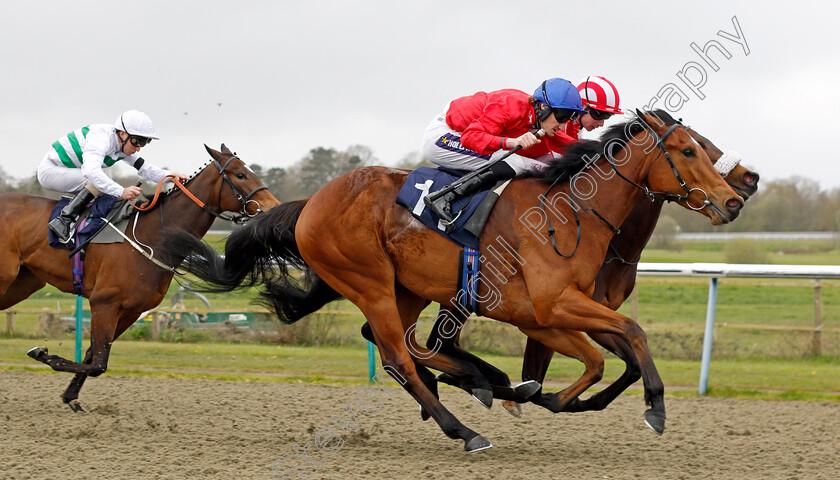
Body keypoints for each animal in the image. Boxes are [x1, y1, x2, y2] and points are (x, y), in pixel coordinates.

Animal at [0, 144, 280, 410]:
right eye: (240, 174)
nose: (273, 207)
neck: (151, 236)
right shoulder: (104, 303)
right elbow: (98, 363)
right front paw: (41, 353)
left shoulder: (131, 310)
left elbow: (93, 356)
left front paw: (71, 396)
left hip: (24, 282)